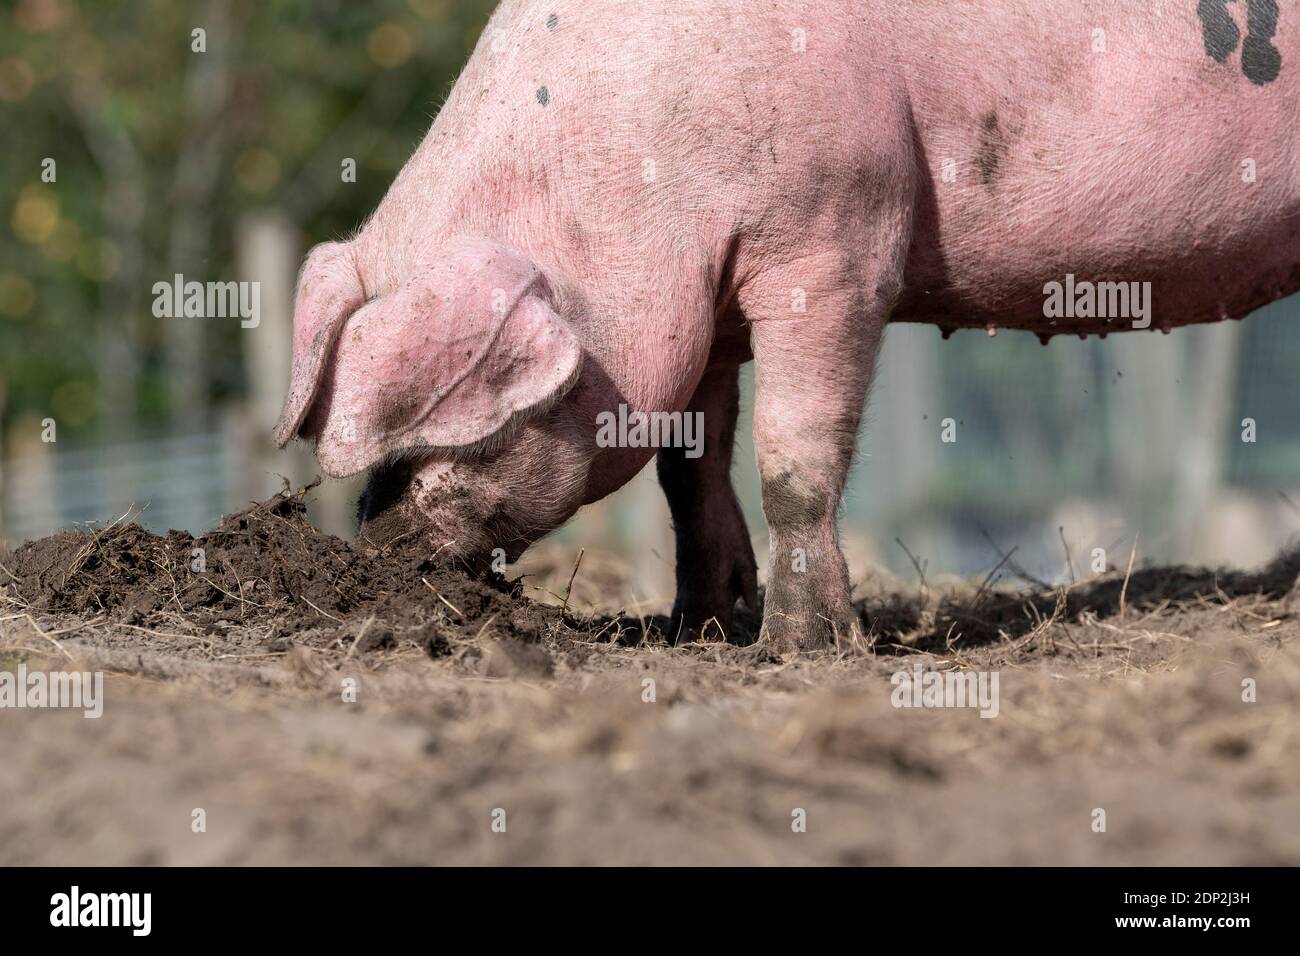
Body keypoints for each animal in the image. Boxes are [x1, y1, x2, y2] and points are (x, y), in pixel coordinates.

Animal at [274, 0, 1299, 655]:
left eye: (451, 435)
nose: (379, 553)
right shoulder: (706, 304)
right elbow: (689, 465)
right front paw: (703, 628)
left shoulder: (836, 239)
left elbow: (793, 452)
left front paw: (803, 648)